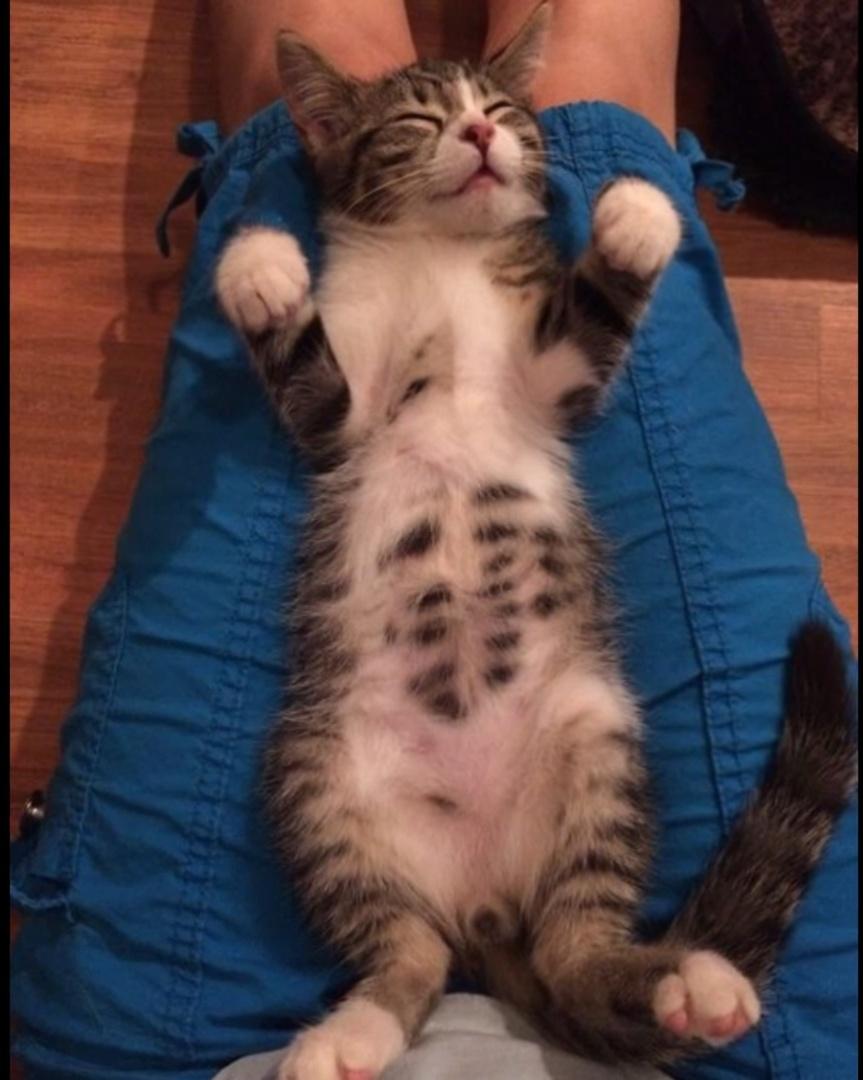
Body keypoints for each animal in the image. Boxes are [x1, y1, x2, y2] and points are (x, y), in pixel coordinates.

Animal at [214, 5, 856, 1078]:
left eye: (503, 107)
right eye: (418, 118)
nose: (480, 135)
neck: (438, 254)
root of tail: (487, 906)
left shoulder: (553, 389)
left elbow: (586, 325)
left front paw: (634, 223)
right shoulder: (337, 427)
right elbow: (310, 382)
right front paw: (258, 272)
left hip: (596, 743)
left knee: (572, 948)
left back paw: (691, 980)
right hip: (317, 778)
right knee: (414, 952)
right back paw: (348, 1035)